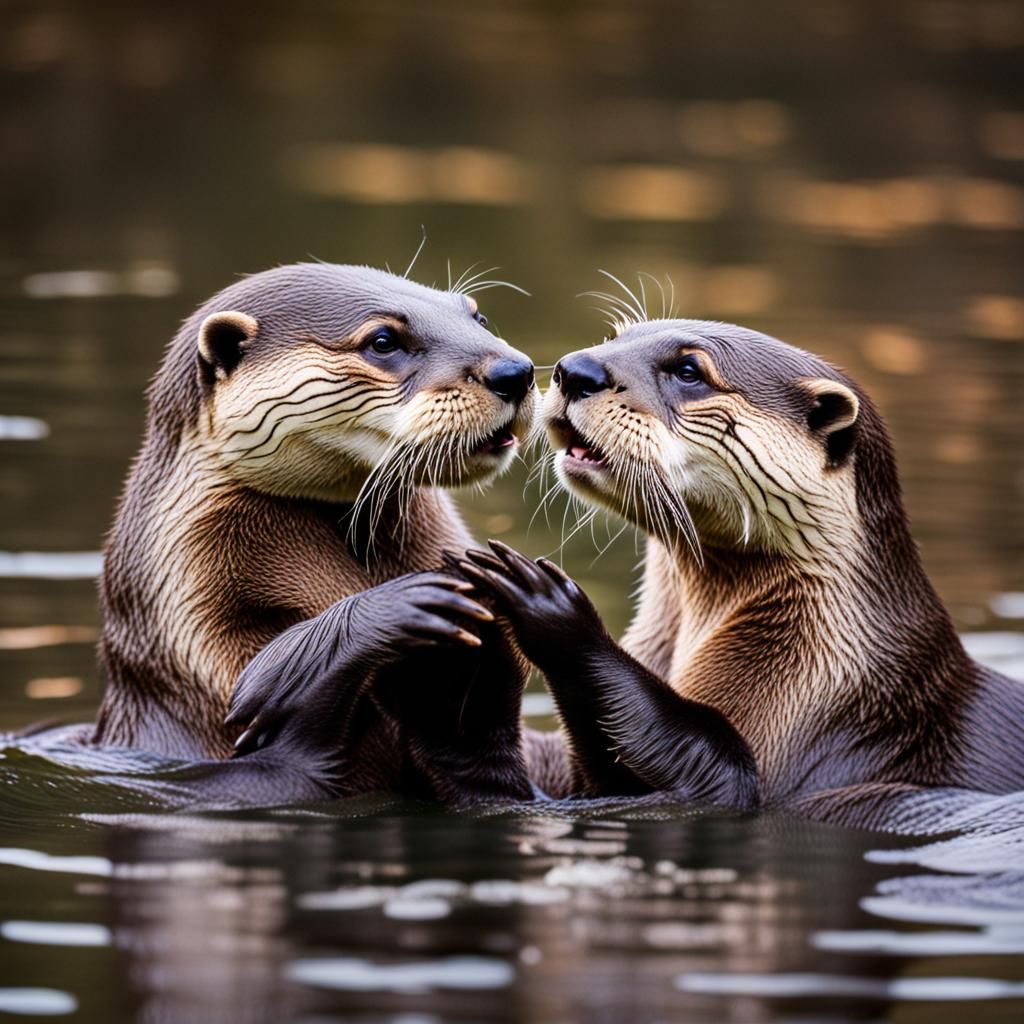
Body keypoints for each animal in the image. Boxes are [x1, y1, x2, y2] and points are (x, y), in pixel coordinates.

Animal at [449, 316, 1024, 824]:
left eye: (689, 371)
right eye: (614, 337)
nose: (576, 369)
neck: (846, 678)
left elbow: (722, 777)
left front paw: (548, 603)